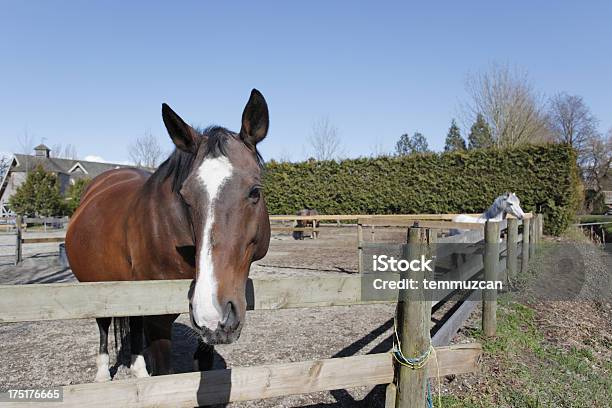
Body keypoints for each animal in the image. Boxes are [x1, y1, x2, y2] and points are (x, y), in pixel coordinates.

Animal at [64, 89, 270, 382]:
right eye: (185, 196)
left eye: (255, 191)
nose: (213, 313)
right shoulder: (158, 321)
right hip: (95, 286)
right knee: (103, 324)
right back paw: (103, 373)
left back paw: (139, 370)